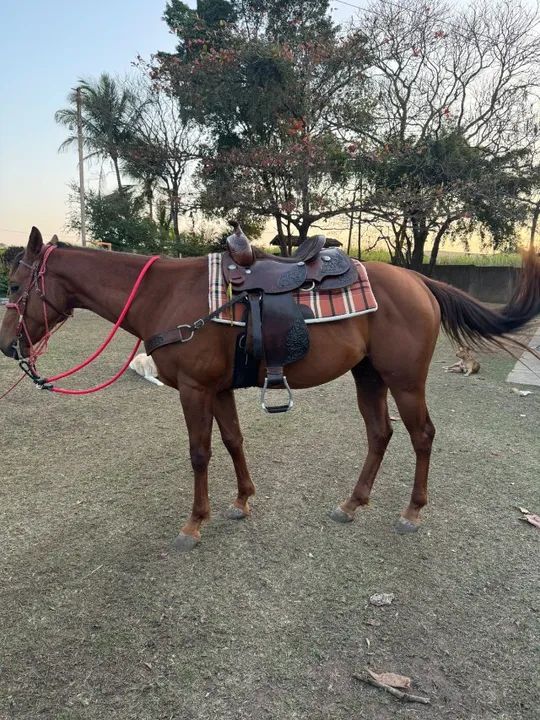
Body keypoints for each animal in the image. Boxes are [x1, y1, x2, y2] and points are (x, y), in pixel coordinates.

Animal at [1, 227, 539, 551]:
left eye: (14, 286)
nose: (8, 345)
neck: (166, 295)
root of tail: (419, 281)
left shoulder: (194, 390)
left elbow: (200, 453)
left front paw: (194, 523)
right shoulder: (216, 389)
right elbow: (233, 440)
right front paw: (242, 501)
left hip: (405, 380)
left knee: (421, 435)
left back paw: (411, 512)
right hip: (368, 376)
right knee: (380, 434)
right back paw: (352, 504)